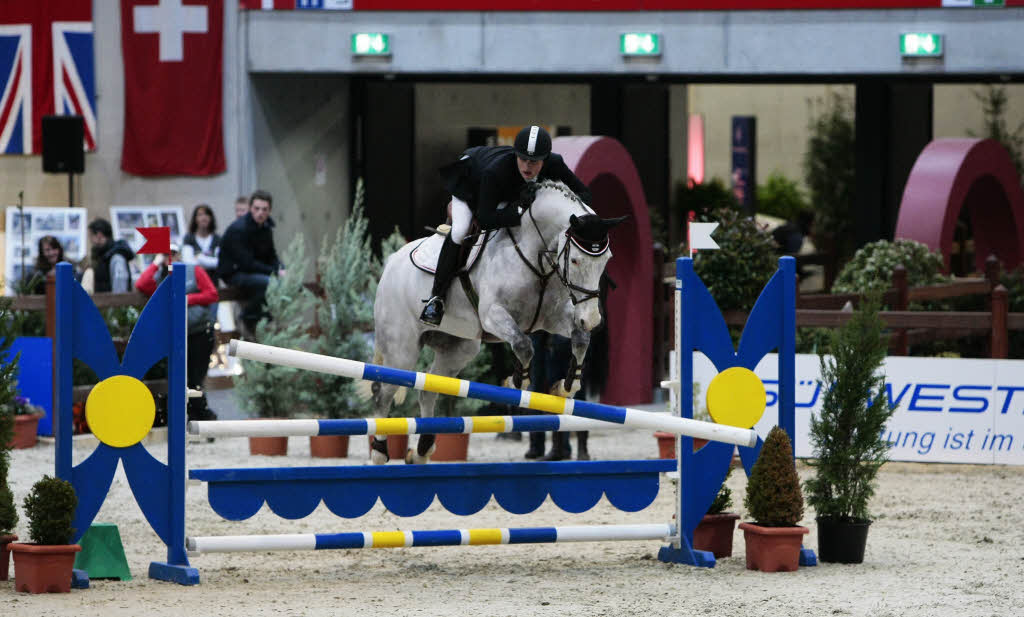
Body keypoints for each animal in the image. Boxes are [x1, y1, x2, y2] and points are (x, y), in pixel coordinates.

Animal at [370, 180, 622, 462]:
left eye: (607, 259)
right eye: (576, 260)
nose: (592, 319)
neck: (536, 256)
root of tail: (392, 262)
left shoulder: (553, 317)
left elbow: (580, 340)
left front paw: (566, 386)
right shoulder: (493, 315)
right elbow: (523, 344)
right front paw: (516, 382)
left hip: (458, 349)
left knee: (428, 389)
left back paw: (423, 450)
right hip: (402, 350)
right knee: (383, 394)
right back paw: (380, 451)